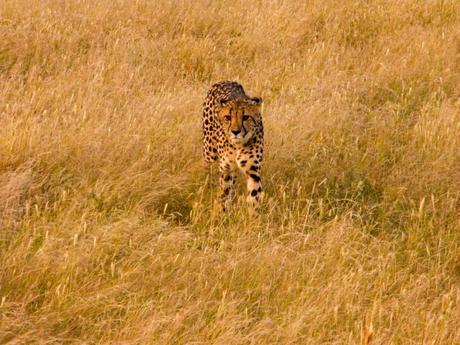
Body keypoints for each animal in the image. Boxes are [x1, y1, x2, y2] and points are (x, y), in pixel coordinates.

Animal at [202, 80, 264, 212]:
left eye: (246, 117)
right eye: (228, 117)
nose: (235, 131)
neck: (237, 146)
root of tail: (225, 81)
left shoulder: (253, 171)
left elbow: (254, 195)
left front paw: (253, 215)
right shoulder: (226, 169)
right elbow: (224, 193)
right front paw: (223, 212)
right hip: (210, 154)